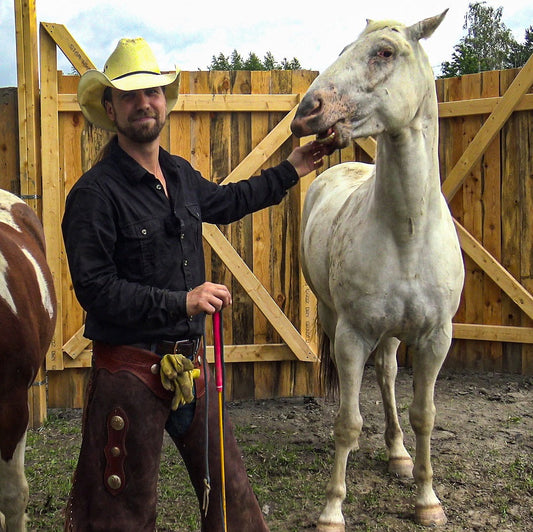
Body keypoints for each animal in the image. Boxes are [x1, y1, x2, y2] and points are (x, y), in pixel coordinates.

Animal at [290, 10, 466, 528]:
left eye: (385, 52)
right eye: (343, 48)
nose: (308, 110)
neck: (406, 231)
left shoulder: (435, 338)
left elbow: (424, 415)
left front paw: (427, 500)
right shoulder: (351, 337)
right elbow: (347, 423)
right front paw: (332, 510)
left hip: (393, 333)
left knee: (388, 374)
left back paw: (399, 456)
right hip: (337, 320)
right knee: (378, 377)